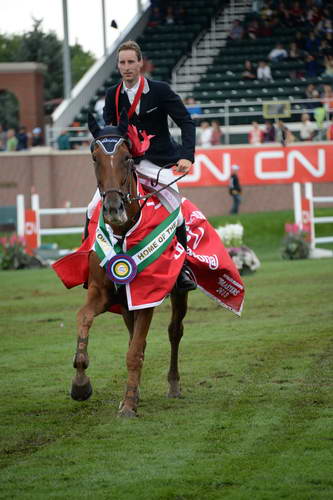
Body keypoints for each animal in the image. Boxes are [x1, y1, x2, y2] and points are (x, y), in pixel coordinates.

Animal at [70, 111, 187, 416]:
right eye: (94, 158)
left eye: (127, 158)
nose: (113, 208)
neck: (123, 233)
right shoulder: (102, 293)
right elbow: (84, 318)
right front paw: (80, 384)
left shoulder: (146, 297)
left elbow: (135, 352)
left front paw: (129, 405)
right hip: (123, 304)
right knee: (134, 334)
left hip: (178, 295)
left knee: (174, 332)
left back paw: (173, 384)